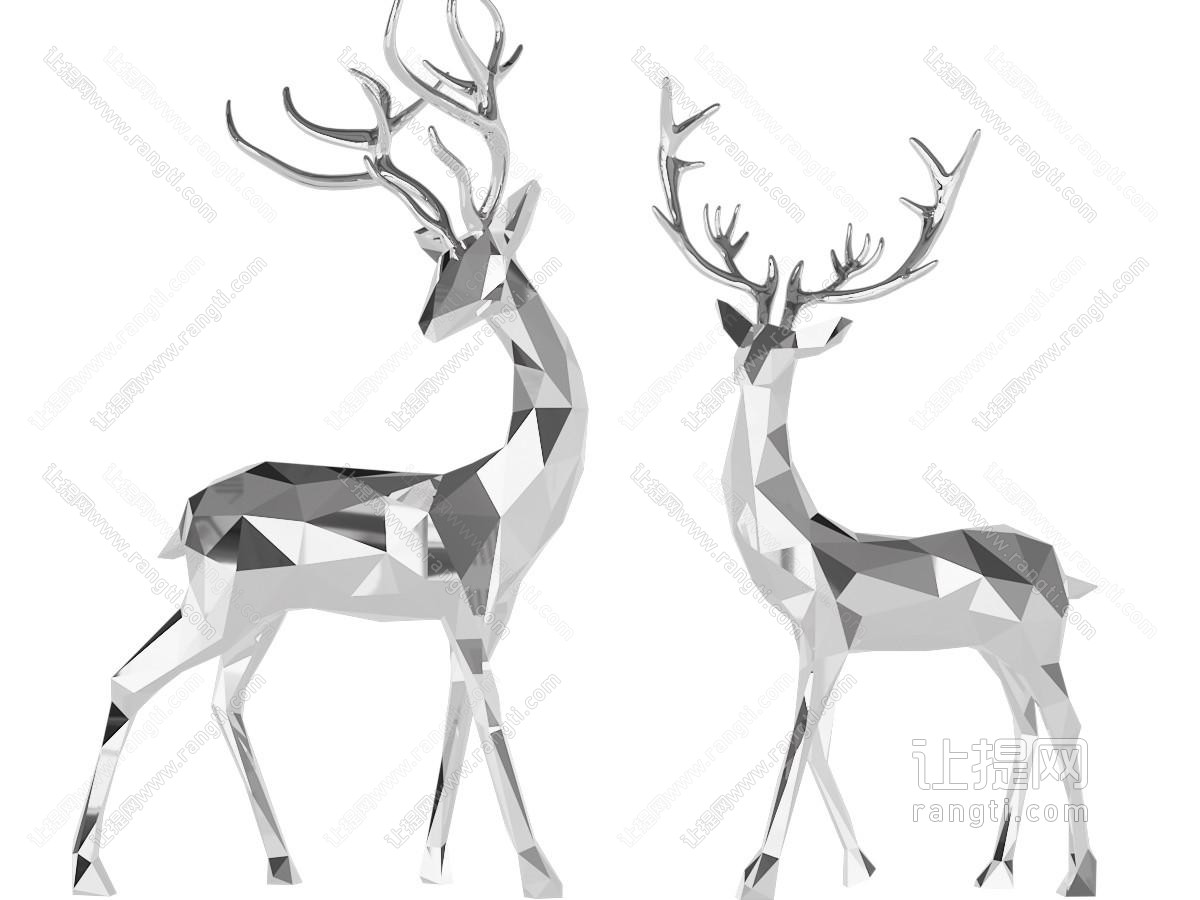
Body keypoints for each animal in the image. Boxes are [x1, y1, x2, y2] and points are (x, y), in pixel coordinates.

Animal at [72, 2, 581, 896]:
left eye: (488, 254)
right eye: (446, 259)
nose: (428, 323)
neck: (506, 480)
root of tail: (191, 506)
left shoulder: (481, 618)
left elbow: (457, 716)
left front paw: (432, 866)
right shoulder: (472, 617)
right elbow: (490, 719)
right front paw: (541, 876)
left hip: (252, 617)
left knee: (218, 696)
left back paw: (283, 866)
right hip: (222, 609)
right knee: (130, 677)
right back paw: (89, 870)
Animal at [653, 78, 1097, 898]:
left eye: (790, 345)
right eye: (748, 335)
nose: (751, 364)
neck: (802, 541)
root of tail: (1061, 565)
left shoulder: (831, 638)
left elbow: (801, 733)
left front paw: (761, 869)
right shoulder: (811, 643)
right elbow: (816, 733)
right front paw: (857, 864)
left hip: (1042, 646)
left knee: (1069, 722)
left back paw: (1077, 875)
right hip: (1000, 652)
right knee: (1024, 721)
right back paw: (994, 863)